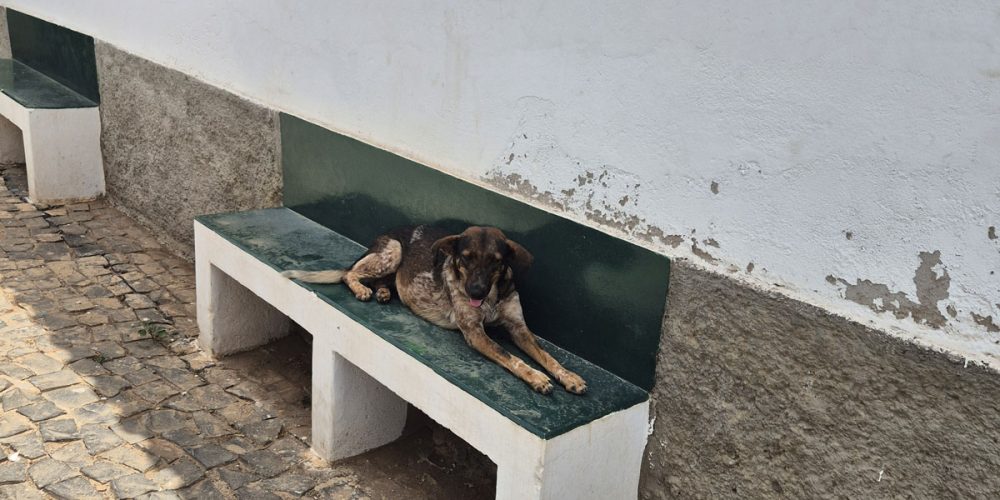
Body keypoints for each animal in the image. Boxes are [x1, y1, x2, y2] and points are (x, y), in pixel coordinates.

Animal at [282, 225, 586, 395]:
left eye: (495, 261)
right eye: (465, 258)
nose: (475, 292)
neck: (491, 297)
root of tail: (385, 235)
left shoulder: (519, 328)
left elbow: (547, 356)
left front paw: (569, 377)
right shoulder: (475, 332)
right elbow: (511, 358)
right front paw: (537, 378)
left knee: (380, 280)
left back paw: (383, 292)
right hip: (392, 252)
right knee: (349, 274)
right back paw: (362, 289)